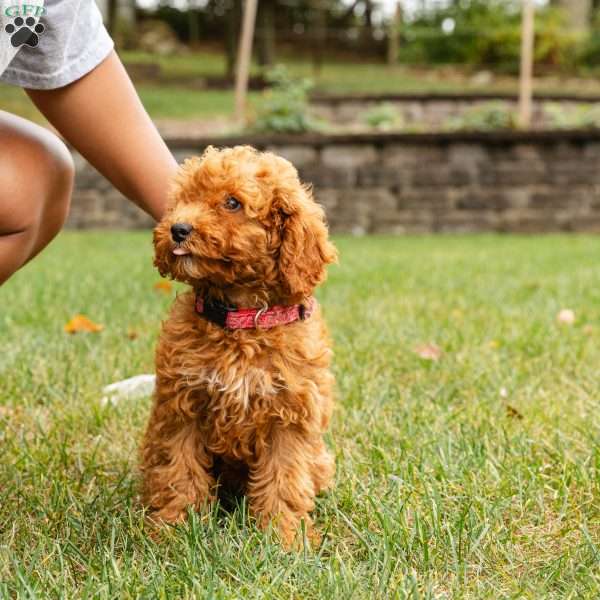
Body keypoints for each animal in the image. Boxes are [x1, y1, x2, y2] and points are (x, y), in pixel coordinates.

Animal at [141, 145, 338, 548]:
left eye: (232, 202)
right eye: (183, 199)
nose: (177, 229)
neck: (242, 318)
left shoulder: (289, 415)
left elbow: (285, 479)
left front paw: (284, 537)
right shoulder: (182, 406)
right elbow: (179, 471)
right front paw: (174, 528)